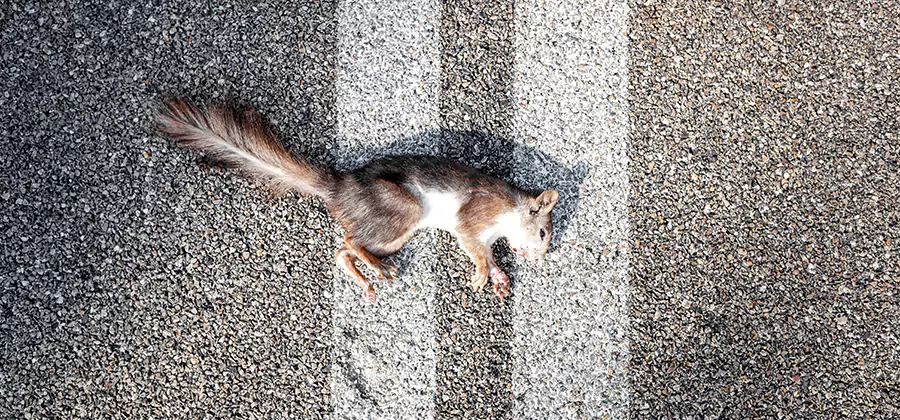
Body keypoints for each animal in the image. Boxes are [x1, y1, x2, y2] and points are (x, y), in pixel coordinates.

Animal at [155, 98, 559, 302]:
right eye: (542, 233)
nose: (538, 259)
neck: (509, 209)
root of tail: (341, 189)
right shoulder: (476, 217)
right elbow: (475, 249)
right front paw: (481, 277)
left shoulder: (487, 236)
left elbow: (489, 255)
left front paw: (500, 277)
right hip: (402, 209)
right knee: (349, 241)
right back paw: (377, 269)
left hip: (395, 232)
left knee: (343, 251)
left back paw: (366, 278)